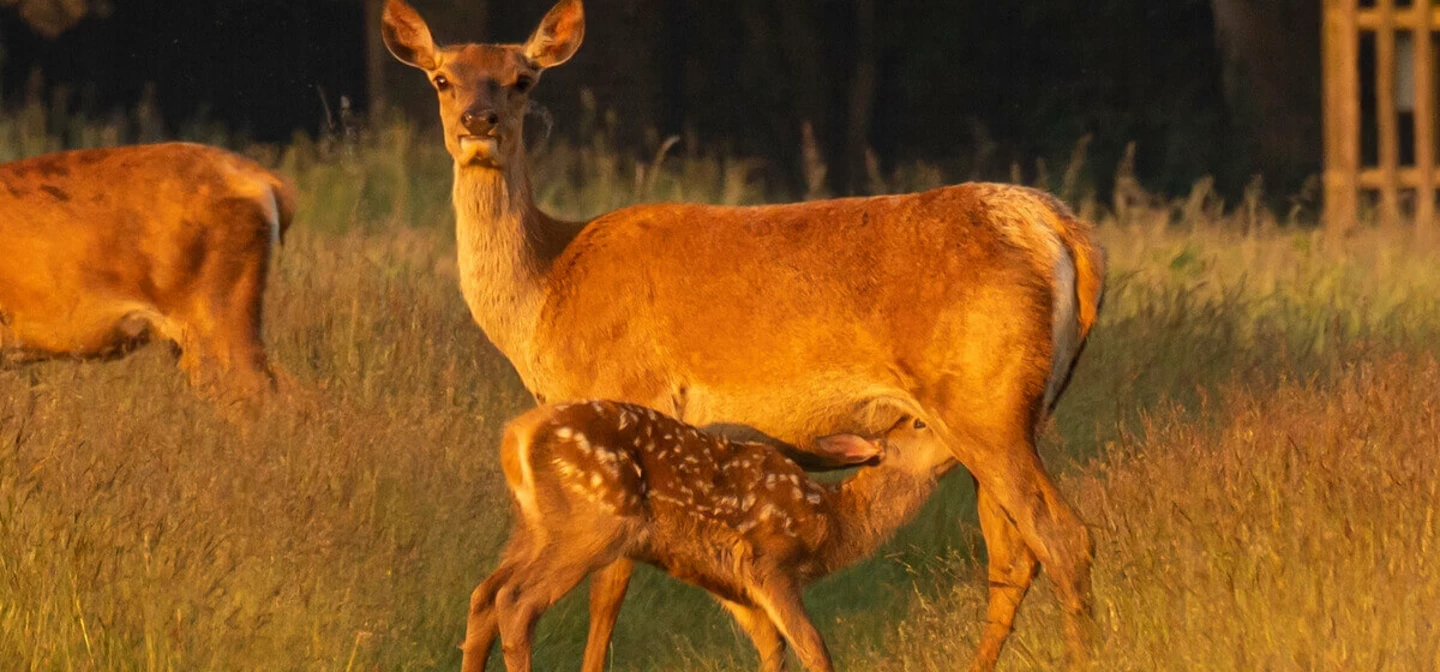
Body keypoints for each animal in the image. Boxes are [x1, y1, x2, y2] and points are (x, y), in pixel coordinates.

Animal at [469, 402, 956, 670]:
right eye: (919, 424)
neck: (829, 520)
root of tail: (517, 436)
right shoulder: (769, 563)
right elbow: (815, 649)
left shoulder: (732, 586)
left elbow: (774, 648)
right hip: (595, 524)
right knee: (516, 601)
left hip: (534, 528)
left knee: (484, 594)